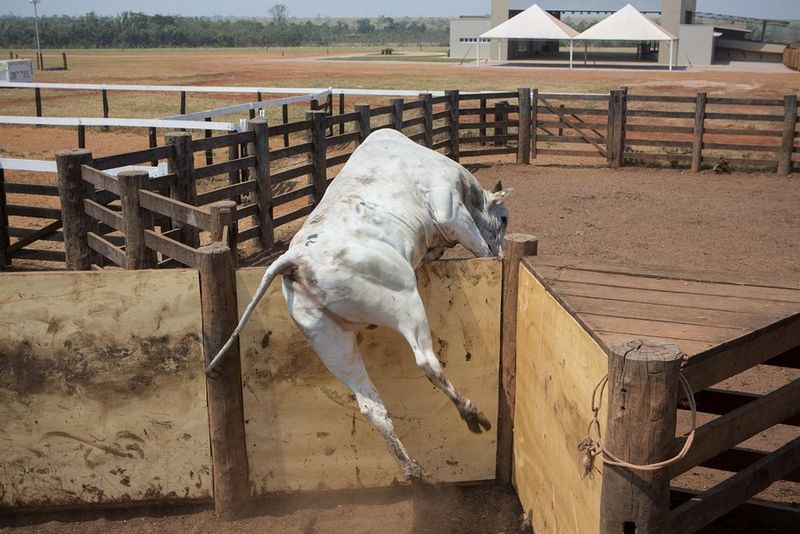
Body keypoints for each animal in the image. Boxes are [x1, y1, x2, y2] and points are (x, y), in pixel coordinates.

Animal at [207, 128, 511, 481]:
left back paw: (412, 468)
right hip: (404, 301)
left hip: (330, 341)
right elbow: (476, 243)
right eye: (504, 218)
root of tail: (295, 259)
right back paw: (471, 414)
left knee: (370, 405)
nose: (503, 251)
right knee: (425, 361)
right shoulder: (448, 207)